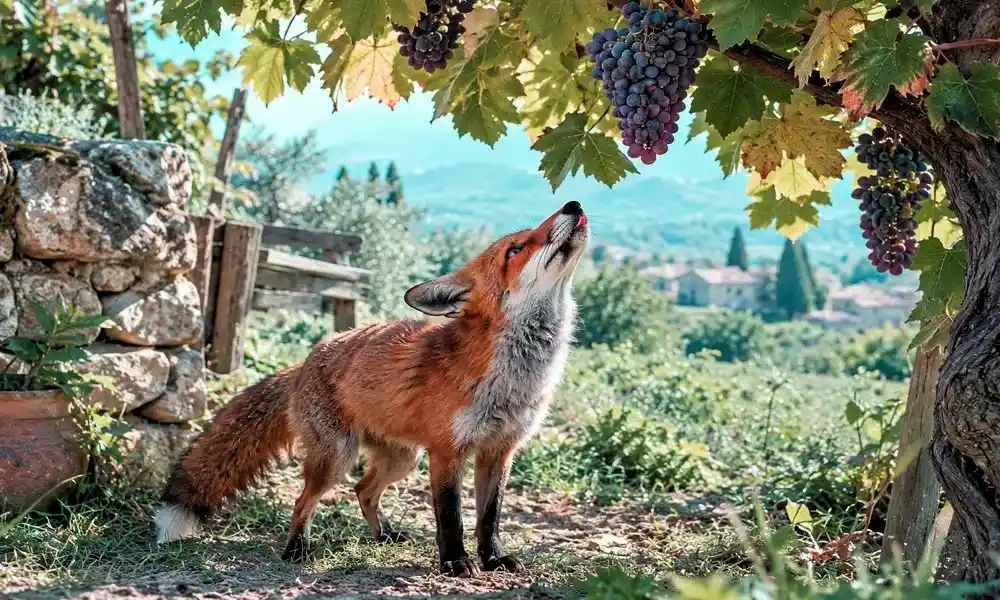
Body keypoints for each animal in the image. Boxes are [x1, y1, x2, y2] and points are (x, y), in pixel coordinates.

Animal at [153, 201, 590, 577]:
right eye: (515, 249)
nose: (573, 205)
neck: (513, 380)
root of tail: (305, 361)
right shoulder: (447, 453)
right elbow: (451, 518)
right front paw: (454, 562)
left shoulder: (500, 452)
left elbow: (489, 517)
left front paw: (493, 559)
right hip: (338, 458)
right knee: (304, 500)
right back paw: (296, 548)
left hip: (403, 459)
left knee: (363, 490)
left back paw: (383, 534)